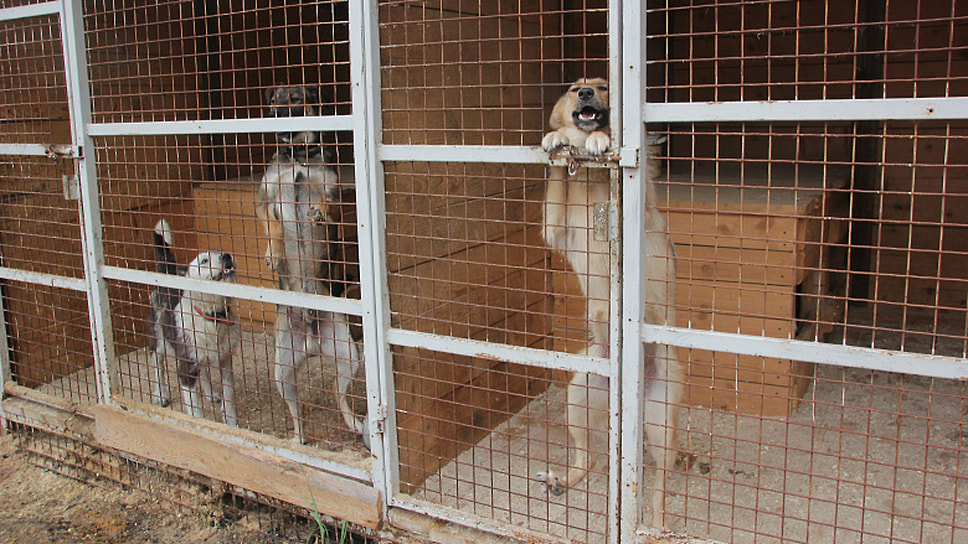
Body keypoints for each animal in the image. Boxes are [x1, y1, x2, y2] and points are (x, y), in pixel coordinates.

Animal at [151, 219, 244, 428]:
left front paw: (231, 421)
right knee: (158, 365)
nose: (226, 255)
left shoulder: (225, 360)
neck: (213, 316)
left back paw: (211, 394)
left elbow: (229, 394)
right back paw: (160, 395)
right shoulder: (185, 369)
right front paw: (200, 426)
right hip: (158, 338)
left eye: (219, 251)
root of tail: (169, 270)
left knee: (203, 372)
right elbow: (194, 409)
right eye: (204, 261)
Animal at [532, 78, 684, 528]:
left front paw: (598, 138)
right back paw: (563, 480)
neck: (590, 180)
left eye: (602, 86)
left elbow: (605, 142)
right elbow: (558, 167)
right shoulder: (554, 229)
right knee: (591, 459)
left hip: (661, 423)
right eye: (573, 87)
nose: (585, 93)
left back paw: (656, 524)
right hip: (579, 395)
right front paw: (559, 138)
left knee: (659, 486)